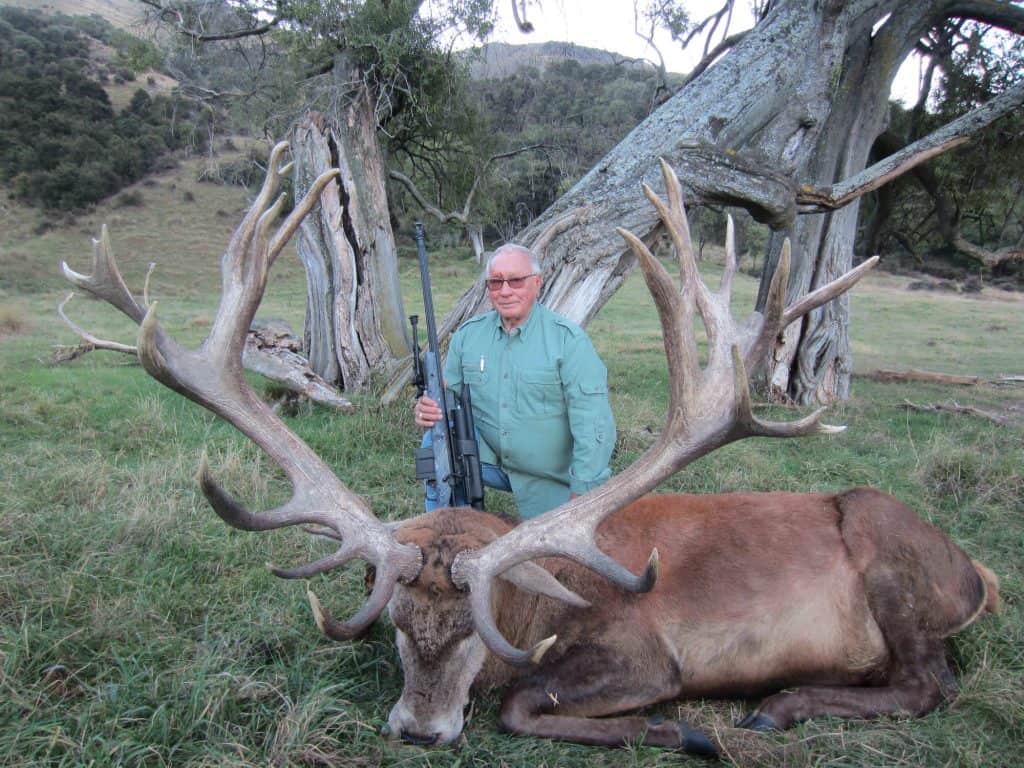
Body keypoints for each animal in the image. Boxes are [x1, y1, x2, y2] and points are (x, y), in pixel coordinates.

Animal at [62, 143, 999, 758]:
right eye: (395, 625)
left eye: (474, 637)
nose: (418, 730)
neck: (538, 609)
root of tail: (979, 575)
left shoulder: (646, 654)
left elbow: (524, 702)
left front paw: (671, 728)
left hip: (885, 549)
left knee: (931, 681)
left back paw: (779, 706)